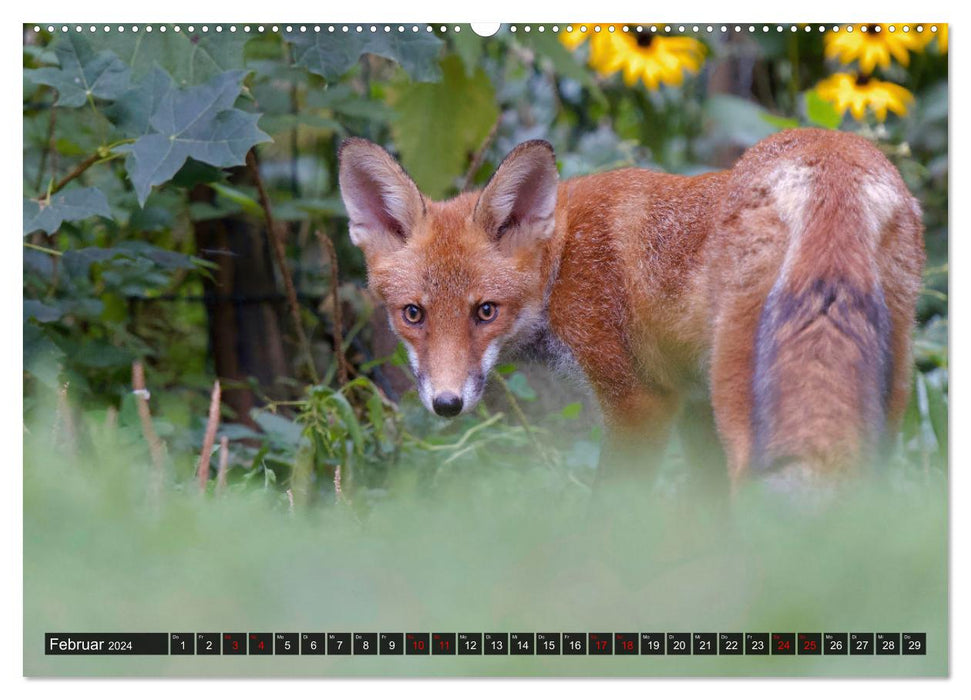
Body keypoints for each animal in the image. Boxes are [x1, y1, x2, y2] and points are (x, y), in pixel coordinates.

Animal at [342, 127, 928, 486]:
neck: (563, 261)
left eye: (485, 311)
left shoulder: (640, 401)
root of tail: (830, 152)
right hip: (882, 398)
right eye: (413, 314)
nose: (447, 404)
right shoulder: (692, 405)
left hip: (745, 404)